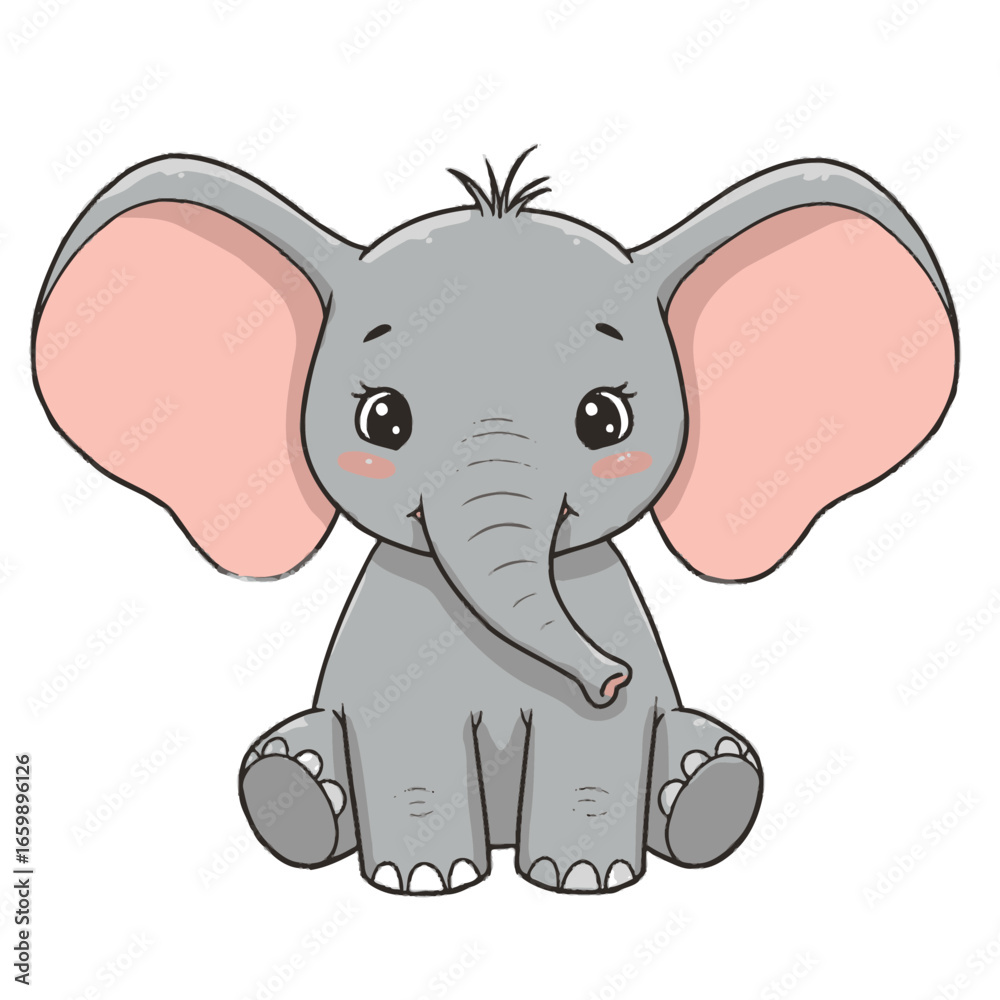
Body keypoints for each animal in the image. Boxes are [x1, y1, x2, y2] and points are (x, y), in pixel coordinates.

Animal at [32, 148, 957, 894]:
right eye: (382, 421)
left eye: (603, 421)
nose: (611, 677)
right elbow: (405, 732)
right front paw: (426, 882)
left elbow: (598, 747)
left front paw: (585, 880)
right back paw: (294, 788)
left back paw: (707, 790)